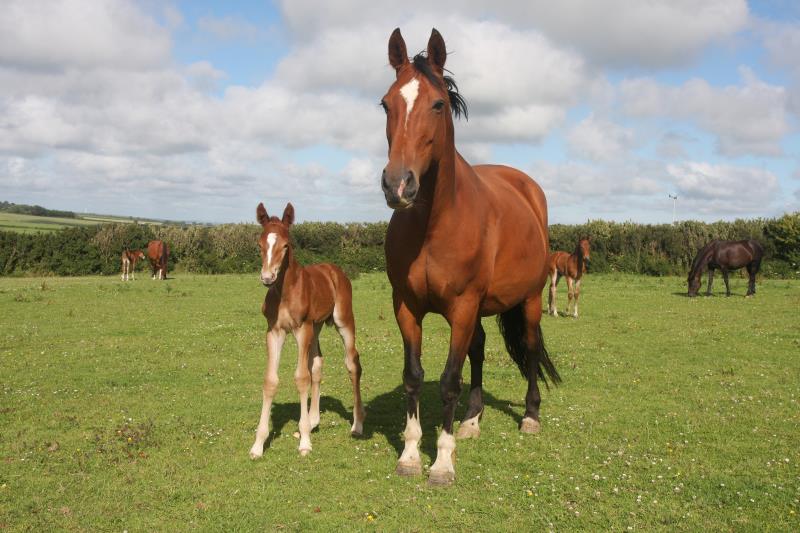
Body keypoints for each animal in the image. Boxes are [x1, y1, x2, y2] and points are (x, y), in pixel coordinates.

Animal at [248, 202, 364, 460]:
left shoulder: (302, 329)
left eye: (285, 245)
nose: (267, 277)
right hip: (317, 327)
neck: (285, 292)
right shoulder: (274, 331)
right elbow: (270, 380)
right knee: (318, 363)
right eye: (259, 245)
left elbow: (301, 378)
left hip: (342, 321)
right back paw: (313, 420)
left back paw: (357, 425)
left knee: (352, 363)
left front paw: (304, 442)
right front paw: (258, 445)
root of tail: (334, 270)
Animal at [382, 29, 560, 486]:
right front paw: (410, 455)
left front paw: (443, 462)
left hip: (530, 299)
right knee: (478, 350)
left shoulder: (462, 307)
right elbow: (414, 377)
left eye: (438, 104)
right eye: (386, 103)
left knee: (529, 348)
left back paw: (530, 415)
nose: (398, 185)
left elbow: (449, 380)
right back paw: (472, 420)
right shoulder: (407, 307)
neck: (433, 225)